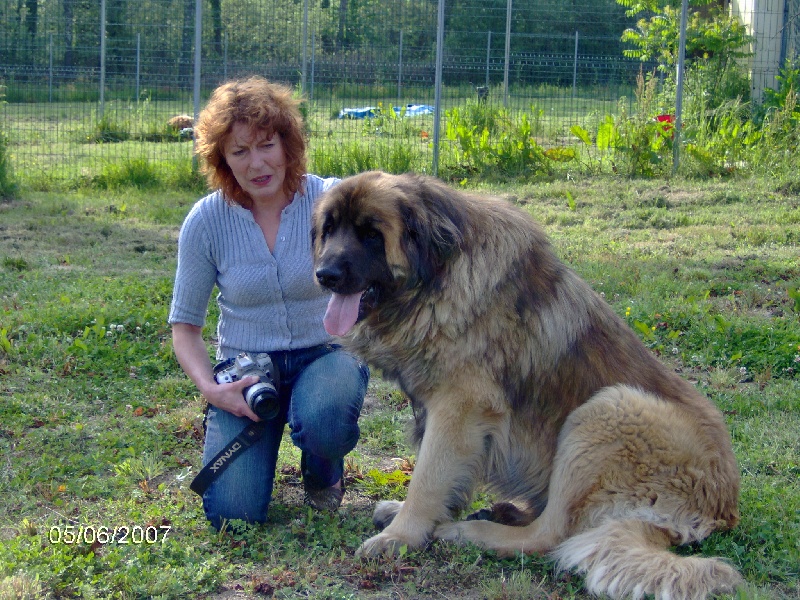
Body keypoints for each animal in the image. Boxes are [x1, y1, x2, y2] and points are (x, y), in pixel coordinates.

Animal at [312, 171, 742, 599]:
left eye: (372, 234)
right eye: (329, 230)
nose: (324, 275)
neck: (438, 275)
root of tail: (719, 510)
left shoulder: (459, 408)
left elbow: (429, 477)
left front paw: (400, 535)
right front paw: (402, 515)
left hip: (607, 410)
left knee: (552, 534)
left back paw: (472, 531)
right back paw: (503, 511)